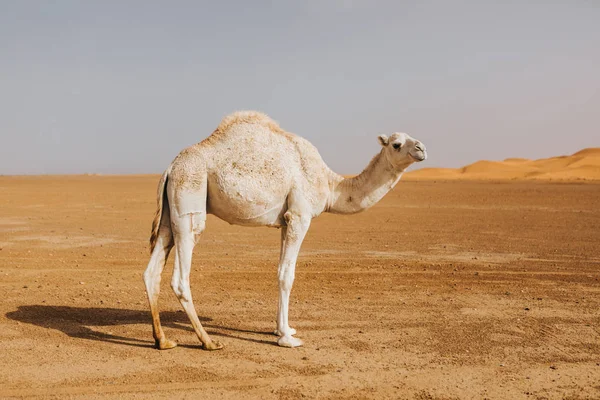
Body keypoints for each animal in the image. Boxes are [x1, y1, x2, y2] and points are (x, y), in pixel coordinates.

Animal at [144, 110, 428, 350]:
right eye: (396, 144)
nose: (422, 148)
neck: (329, 185)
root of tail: (170, 168)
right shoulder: (300, 216)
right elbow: (286, 275)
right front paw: (286, 339)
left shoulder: (285, 220)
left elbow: (281, 270)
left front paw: (285, 328)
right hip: (190, 193)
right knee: (181, 275)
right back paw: (208, 341)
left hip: (171, 210)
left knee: (152, 271)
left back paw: (163, 340)